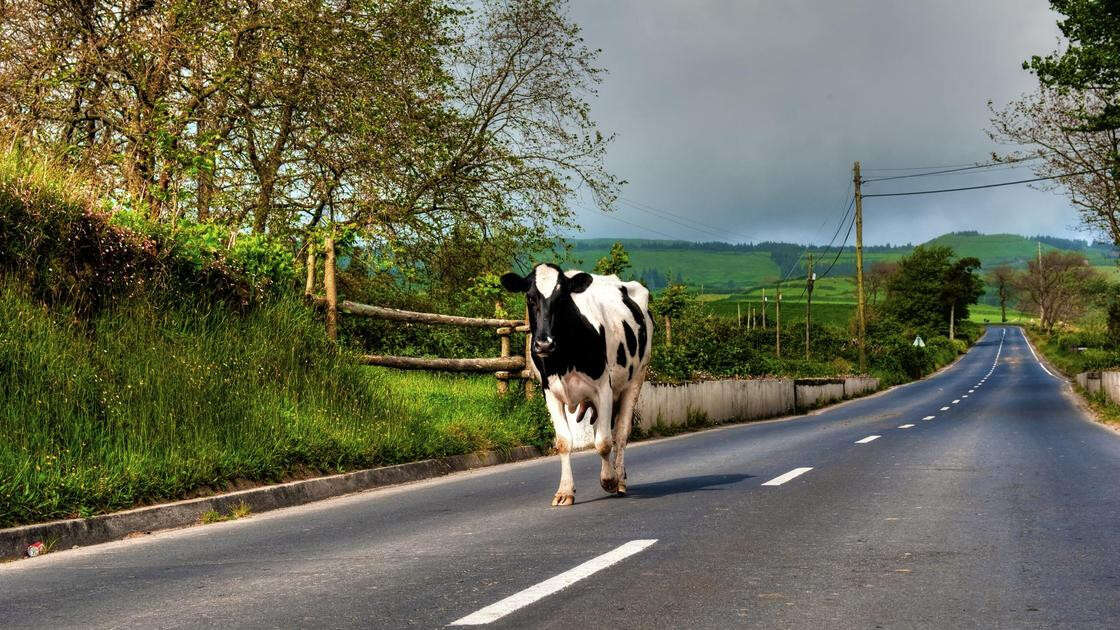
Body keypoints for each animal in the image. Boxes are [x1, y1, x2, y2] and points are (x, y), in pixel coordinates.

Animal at [501, 262, 654, 502]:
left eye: (562, 298)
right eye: (530, 297)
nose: (544, 344)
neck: (563, 359)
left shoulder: (604, 389)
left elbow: (604, 442)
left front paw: (609, 480)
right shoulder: (550, 393)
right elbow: (564, 442)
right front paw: (565, 491)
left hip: (636, 378)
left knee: (620, 434)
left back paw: (619, 478)